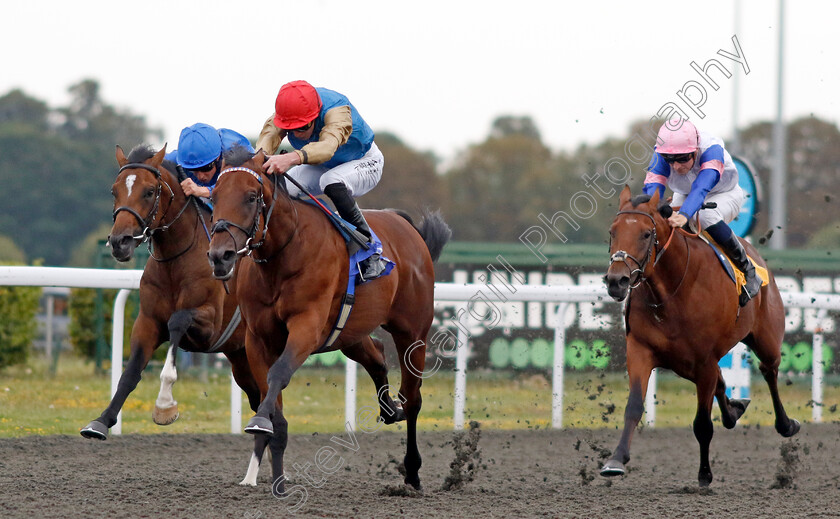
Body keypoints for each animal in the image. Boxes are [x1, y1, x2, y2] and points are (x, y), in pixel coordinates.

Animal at [207, 149, 450, 496]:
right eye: (213, 196)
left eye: (252, 197)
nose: (220, 256)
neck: (284, 255)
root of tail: (406, 226)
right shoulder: (257, 338)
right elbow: (273, 400)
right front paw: (278, 481)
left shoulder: (306, 327)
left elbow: (279, 372)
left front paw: (259, 424)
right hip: (350, 333)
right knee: (377, 357)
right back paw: (389, 410)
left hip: (413, 331)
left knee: (413, 398)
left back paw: (412, 472)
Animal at [600, 187, 796, 488]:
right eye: (613, 231)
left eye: (645, 234)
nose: (616, 281)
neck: (672, 291)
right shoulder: (641, 350)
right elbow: (633, 406)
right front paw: (616, 460)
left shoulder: (704, 362)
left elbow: (703, 424)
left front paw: (704, 474)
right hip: (688, 364)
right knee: (723, 381)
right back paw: (734, 410)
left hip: (766, 340)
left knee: (769, 371)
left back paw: (785, 424)